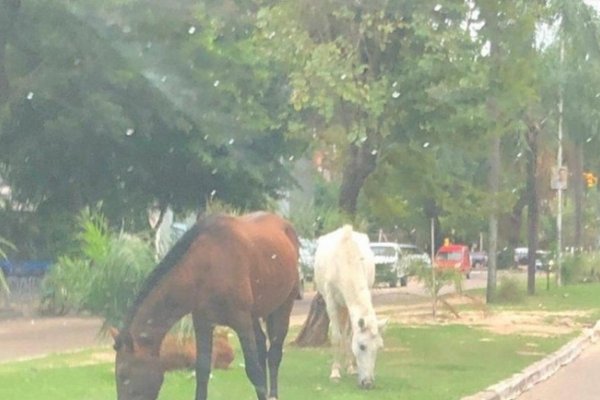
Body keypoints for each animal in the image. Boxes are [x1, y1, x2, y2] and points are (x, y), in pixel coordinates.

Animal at [110, 211, 300, 398]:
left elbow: (254, 371)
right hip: (253, 315)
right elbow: (202, 370)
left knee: (274, 354)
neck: (207, 264)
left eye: (123, 374)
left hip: (283, 306)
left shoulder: (241, 321)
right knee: (261, 346)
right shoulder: (203, 322)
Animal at [312, 227, 386, 390]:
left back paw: (349, 366)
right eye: (362, 346)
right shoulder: (331, 301)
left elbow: (350, 335)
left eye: (379, 347)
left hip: (345, 306)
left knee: (346, 333)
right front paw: (334, 373)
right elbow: (335, 336)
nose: (368, 383)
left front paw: (352, 368)